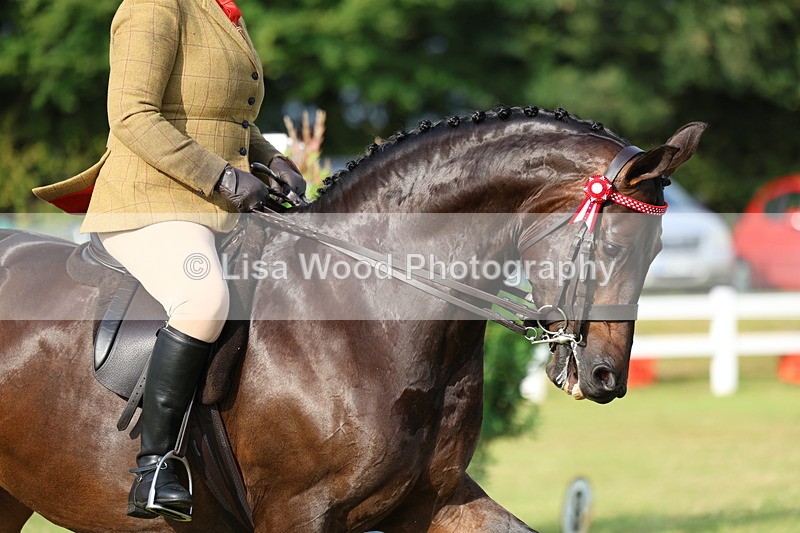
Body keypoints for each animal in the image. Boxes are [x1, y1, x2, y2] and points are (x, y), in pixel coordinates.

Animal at [0, 106, 705, 532]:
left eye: (657, 252)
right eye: (614, 248)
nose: (606, 377)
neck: (369, 310)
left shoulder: (433, 498)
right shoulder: (299, 512)